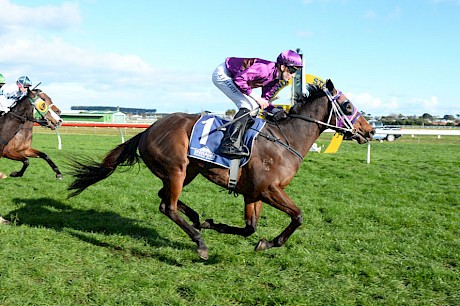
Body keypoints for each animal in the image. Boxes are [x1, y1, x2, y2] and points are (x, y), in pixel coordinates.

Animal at [68, 79, 376, 260]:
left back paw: (196, 219)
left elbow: (250, 228)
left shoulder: (254, 193)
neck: (287, 139)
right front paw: (272, 242)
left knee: (164, 197)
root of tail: (146, 130)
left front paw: (218, 225)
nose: (370, 131)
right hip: (177, 170)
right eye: (348, 105)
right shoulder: (269, 189)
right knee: (167, 206)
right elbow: (298, 216)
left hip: (187, 171)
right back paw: (200, 243)